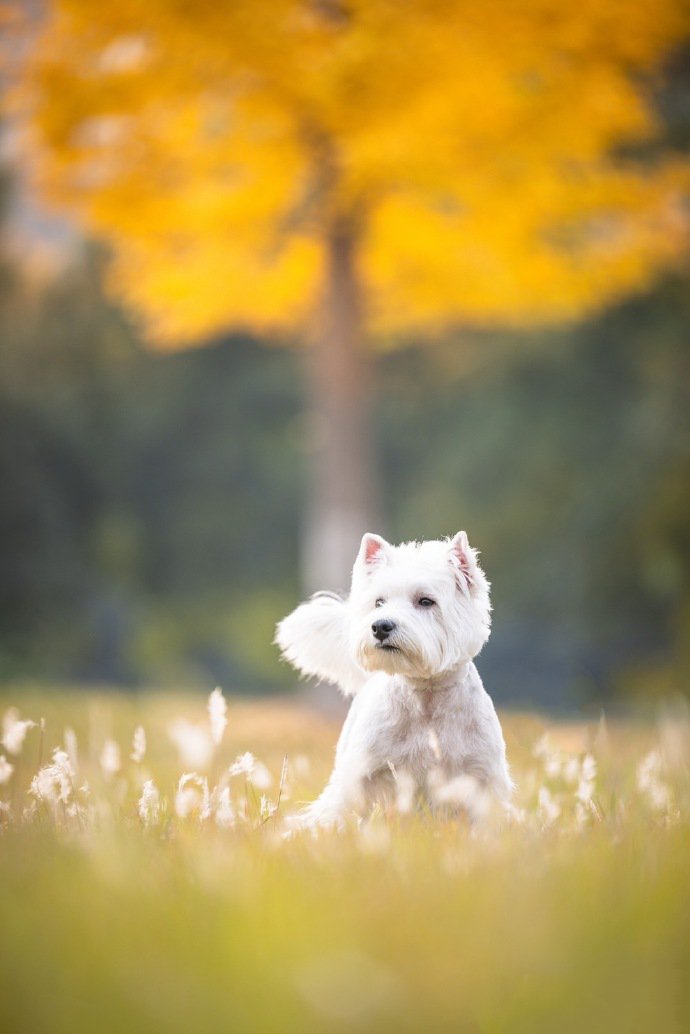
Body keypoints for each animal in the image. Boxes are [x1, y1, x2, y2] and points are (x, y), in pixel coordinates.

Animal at [277, 529, 513, 827]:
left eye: (426, 601)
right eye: (379, 602)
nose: (380, 626)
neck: (426, 696)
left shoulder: (483, 775)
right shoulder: (362, 771)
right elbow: (340, 807)